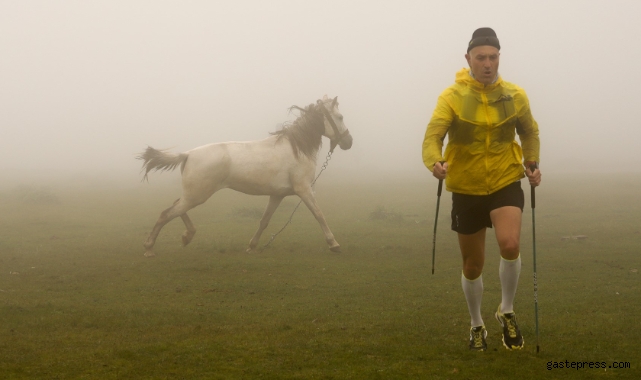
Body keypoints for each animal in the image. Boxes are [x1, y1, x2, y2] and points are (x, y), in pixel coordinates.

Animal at [137, 95, 352, 256]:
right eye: (340, 117)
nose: (348, 142)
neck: (297, 148)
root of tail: (188, 154)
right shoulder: (304, 190)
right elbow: (319, 215)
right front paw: (334, 244)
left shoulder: (278, 195)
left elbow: (264, 221)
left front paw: (251, 246)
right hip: (197, 196)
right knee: (167, 213)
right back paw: (149, 248)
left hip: (193, 195)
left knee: (176, 207)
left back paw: (187, 236)